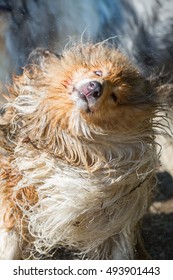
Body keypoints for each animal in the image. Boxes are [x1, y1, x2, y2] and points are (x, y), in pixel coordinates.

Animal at [0, 43, 169, 260]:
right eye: (98, 72)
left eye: (114, 97)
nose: (96, 88)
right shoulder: (17, 186)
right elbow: (11, 233)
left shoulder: (115, 221)